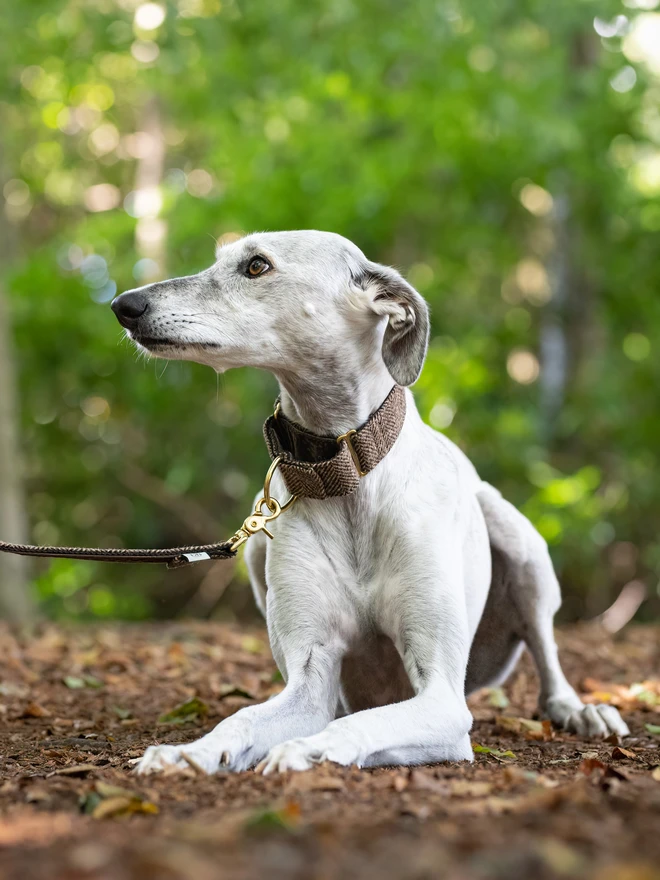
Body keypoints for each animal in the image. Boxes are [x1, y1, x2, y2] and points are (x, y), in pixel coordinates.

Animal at [109, 230, 628, 772]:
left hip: (519, 543)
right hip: (257, 553)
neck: (344, 474)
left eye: (256, 266)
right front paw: (188, 752)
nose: (124, 305)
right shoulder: (310, 680)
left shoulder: (443, 698)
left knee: (546, 656)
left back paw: (582, 709)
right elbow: (247, 718)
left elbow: (355, 725)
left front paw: (308, 750)